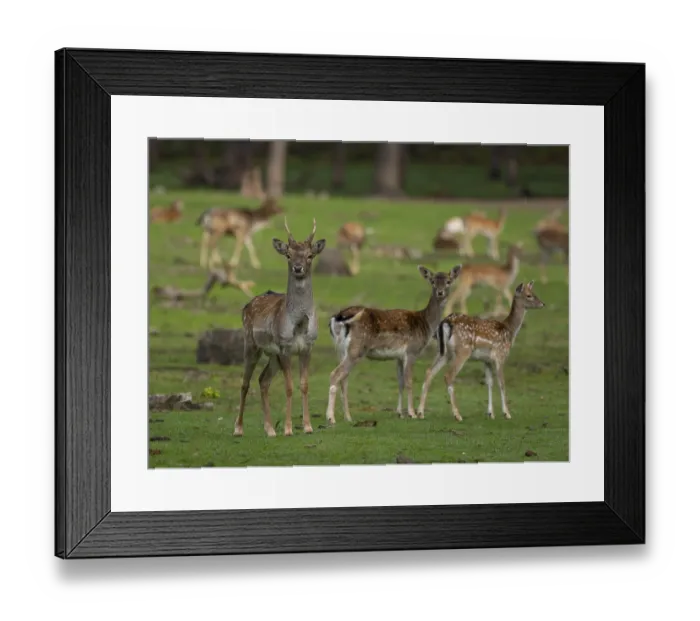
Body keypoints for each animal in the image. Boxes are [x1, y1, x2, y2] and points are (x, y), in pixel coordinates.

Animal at [235, 218, 326, 438]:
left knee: (263, 380)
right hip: (251, 344)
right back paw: (238, 428)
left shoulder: (307, 347)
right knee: (245, 382)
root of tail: (247, 305)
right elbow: (289, 387)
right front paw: (288, 428)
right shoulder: (285, 347)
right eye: (288, 254)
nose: (298, 268)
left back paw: (269, 429)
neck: (299, 325)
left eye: (310, 255)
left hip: (272, 355)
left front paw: (308, 427)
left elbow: (304, 385)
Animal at [325, 264, 462, 425]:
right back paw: (331, 417)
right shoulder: (412, 351)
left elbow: (400, 382)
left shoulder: (399, 357)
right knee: (335, 374)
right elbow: (409, 381)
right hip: (356, 348)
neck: (426, 324)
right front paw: (412, 413)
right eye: (433, 281)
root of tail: (338, 317)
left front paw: (400, 413)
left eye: (448, 281)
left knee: (344, 379)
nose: (440, 292)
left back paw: (348, 417)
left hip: (341, 350)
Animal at [417, 280, 545, 423]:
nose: (542, 303)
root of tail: (445, 323)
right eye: (529, 295)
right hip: (463, 350)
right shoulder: (500, 355)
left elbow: (489, 382)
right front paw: (507, 413)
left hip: (443, 352)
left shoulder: (486, 360)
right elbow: (501, 382)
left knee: (429, 371)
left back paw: (420, 412)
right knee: (448, 375)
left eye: (534, 293)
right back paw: (457, 415)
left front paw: (491, 413)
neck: (509, 331)